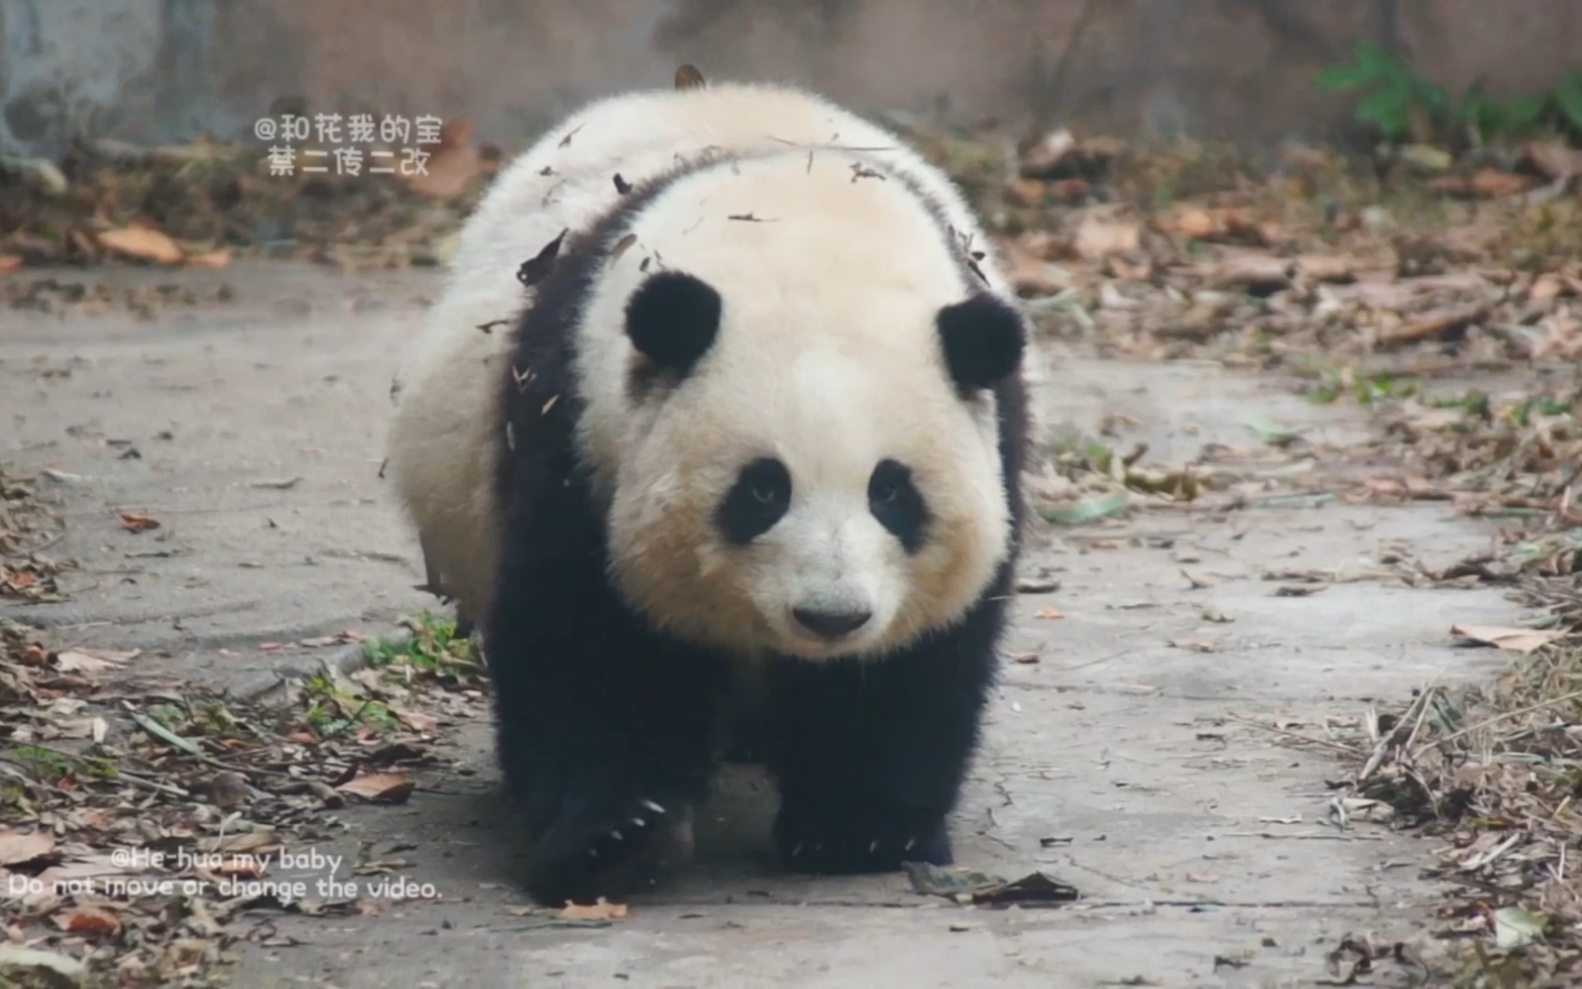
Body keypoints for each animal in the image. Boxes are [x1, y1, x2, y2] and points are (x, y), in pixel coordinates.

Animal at [379, 73, 1025, 905]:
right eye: (761, 491)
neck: (807, 239)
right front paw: (615, 836)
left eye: (893, 493)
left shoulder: (996, 442)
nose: (830, 616)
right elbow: (589, 643)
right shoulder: (578, 428)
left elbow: (911, 664)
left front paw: (859, 829)